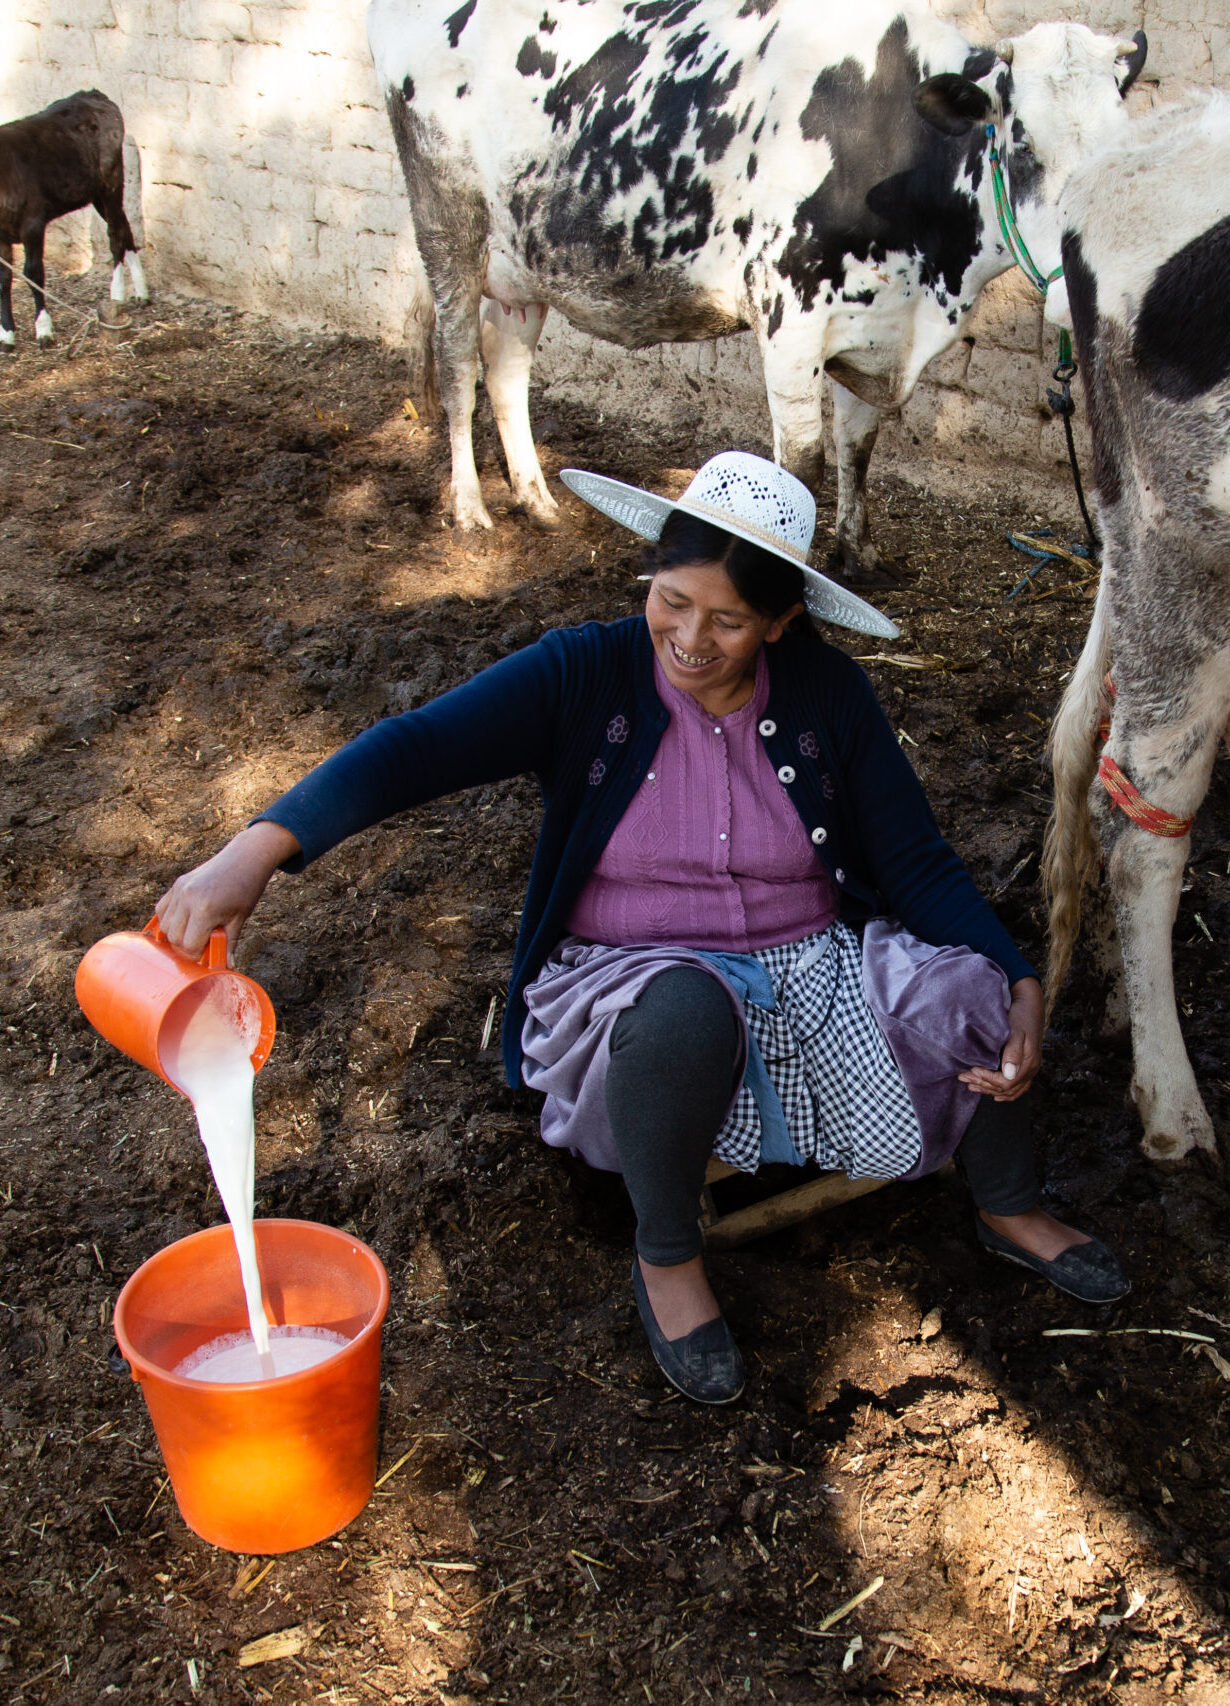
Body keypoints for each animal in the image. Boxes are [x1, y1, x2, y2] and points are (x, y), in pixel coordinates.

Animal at [0, 91, 148, 351]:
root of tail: (91, 94)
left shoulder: (33, 223)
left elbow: (33, 273)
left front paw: (44, 330)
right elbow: (3, 280)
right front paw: (7, 336)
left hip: (111, 180)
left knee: (115, 234)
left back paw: (117, 292)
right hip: (95, 192)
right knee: (125, 226)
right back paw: (141, 292)